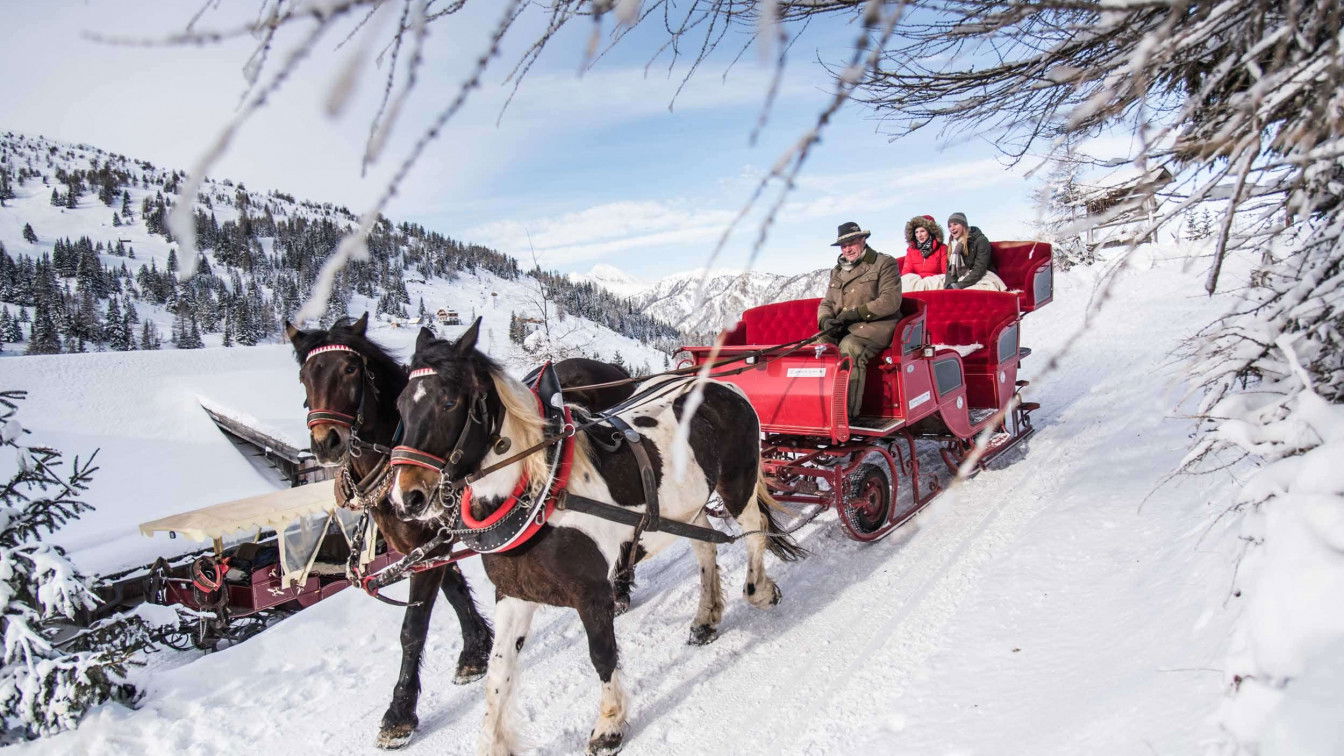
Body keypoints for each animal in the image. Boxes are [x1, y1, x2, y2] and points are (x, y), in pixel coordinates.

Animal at [284, 313, 639, 747]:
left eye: (350, 368)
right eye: (304, 375)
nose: (326, 443)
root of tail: (609, 369)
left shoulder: (434, 545)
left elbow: (413, 627)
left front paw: (399, 714)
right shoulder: (421, 546)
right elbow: (454, 592)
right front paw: (475, 650)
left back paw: (620, 588)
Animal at [389, 318, 806, 753]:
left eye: (449, 402)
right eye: (400, 406)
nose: (407, 498)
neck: (542, 493)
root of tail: (719, 384)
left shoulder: (591, 593)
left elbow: (602, 655)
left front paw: (609, 725)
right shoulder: (513, 594)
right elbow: (499, 674)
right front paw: (494, 742)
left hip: (738, 485)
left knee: (755, 534)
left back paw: (760, 590)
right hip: (686, 507)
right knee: (706, 547)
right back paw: (706, 618)